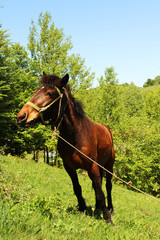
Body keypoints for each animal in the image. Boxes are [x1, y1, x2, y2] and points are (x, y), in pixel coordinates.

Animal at [16, 72, 115, 224]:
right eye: (35, 91)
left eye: (49, 93)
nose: (22, 116)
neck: (76, 135)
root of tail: (106, 129)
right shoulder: (69, 167)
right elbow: (77, 188)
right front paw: (82, 210)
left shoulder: (92, 167)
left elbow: (101, 192)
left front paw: (108, 219)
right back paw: (98, 207)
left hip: (108, 166)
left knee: (108, 187)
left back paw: (110, 209)